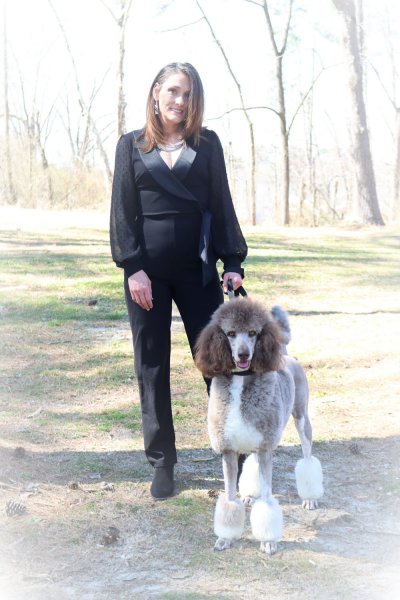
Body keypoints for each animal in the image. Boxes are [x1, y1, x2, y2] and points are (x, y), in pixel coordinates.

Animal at [194, 298, 323, 555]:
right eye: (230, 333)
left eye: (253, 333)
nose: (243, 354)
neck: (241, 380)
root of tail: (285, 355)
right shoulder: (229, 450)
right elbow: (230, 497)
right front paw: (225, 538)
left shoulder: (265, 449)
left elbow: (267, 500)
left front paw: (268, 541)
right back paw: (249, 496)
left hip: (301, 419)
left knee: (307, 456)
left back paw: (310, 497)